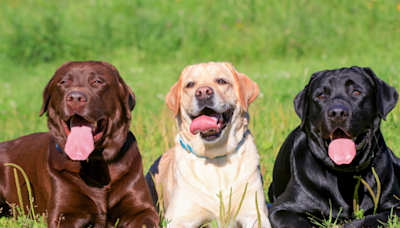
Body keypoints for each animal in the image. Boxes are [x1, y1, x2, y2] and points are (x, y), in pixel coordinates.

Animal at [0, 61, 159, 228]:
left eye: (97, 81)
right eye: (64, 82)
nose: (75, 97)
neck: (96, 163)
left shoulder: (142, 210)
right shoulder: (62, 214)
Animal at [268, 67, 400, 227]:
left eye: (356, 92)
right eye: (321, 95)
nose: (337, 113)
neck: (345, 174)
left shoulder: (395, 207)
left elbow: (370, 219)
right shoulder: (281, 209)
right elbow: (297, 221)